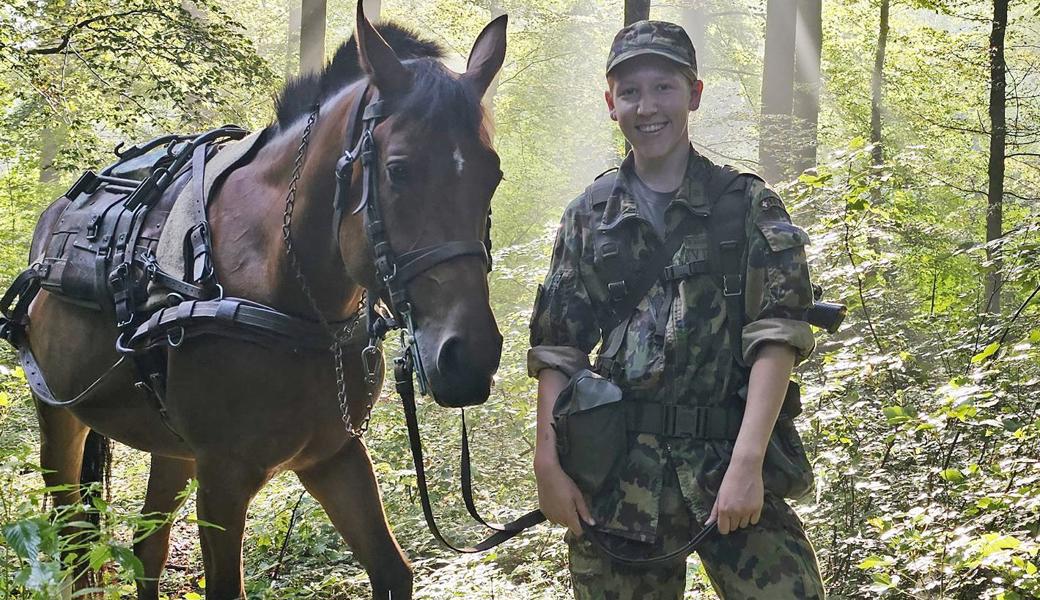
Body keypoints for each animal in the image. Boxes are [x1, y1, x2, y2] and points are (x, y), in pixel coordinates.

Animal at [20, 3, 507, 594]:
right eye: (398, 170)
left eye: (492, 175)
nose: (470, 356)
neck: (287, 294)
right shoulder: (223, 479)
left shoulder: (334, 455)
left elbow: (393, 571)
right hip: (58, 415)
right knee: (74, 538)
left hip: (170, 448)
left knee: (147, 549)